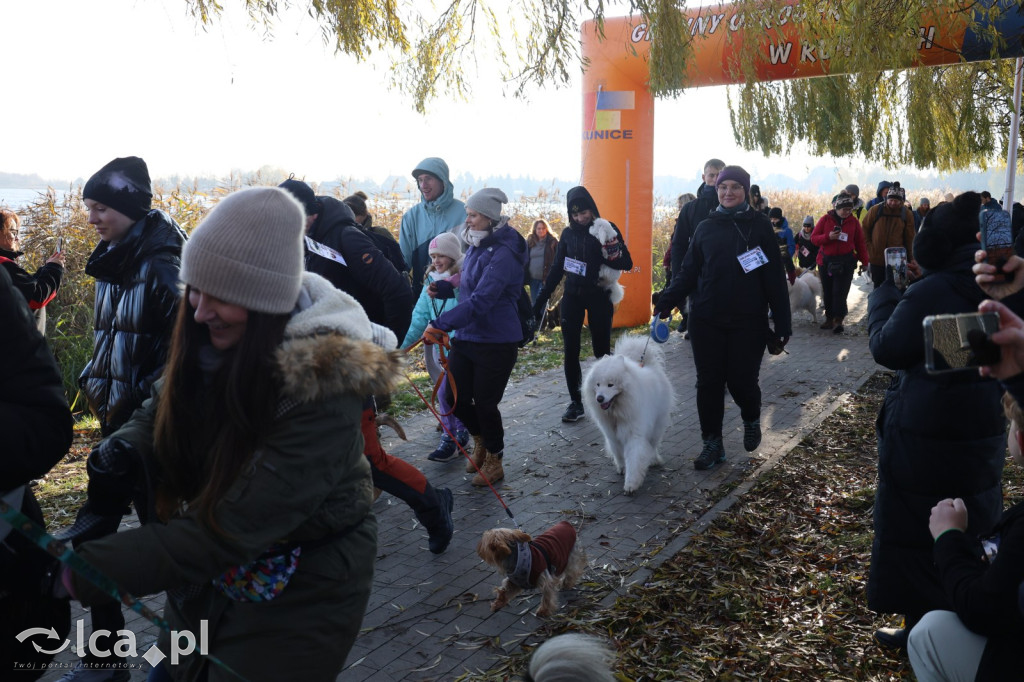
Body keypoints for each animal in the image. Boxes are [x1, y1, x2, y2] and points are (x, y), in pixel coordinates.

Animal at [581, 333, 675, 493]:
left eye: (610, 385)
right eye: (598, 384)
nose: (599, 398)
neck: (617, 412)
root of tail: (650, 366)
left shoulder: (633, 434)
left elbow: (633, 458)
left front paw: (631, 483)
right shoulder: (612, 435)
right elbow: (618, 453)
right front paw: (622, 467)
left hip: (657, 425)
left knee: (653, 445)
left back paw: (654, 459)